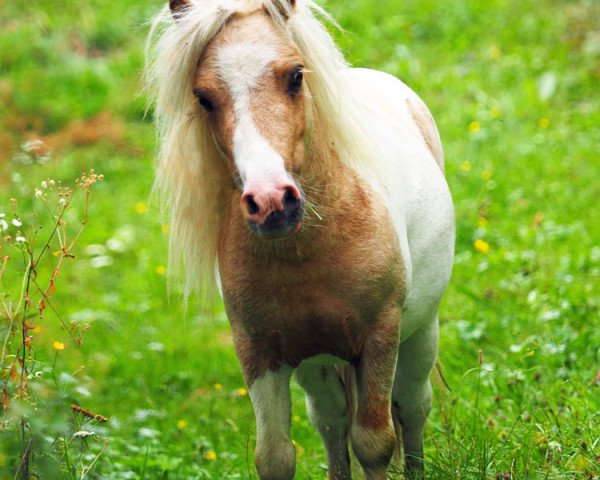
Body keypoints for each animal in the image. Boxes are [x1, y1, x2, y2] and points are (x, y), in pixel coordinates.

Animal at [145, 0, 454, 476]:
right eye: (203, 97)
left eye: (294, 76)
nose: (271, 201)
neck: (306, 253)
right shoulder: (260, 354)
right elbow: (275, 456)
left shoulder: (379, 339)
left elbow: (375, 443)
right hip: (317, 366)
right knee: (331, 422)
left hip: (419, 334)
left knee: (412, 408)